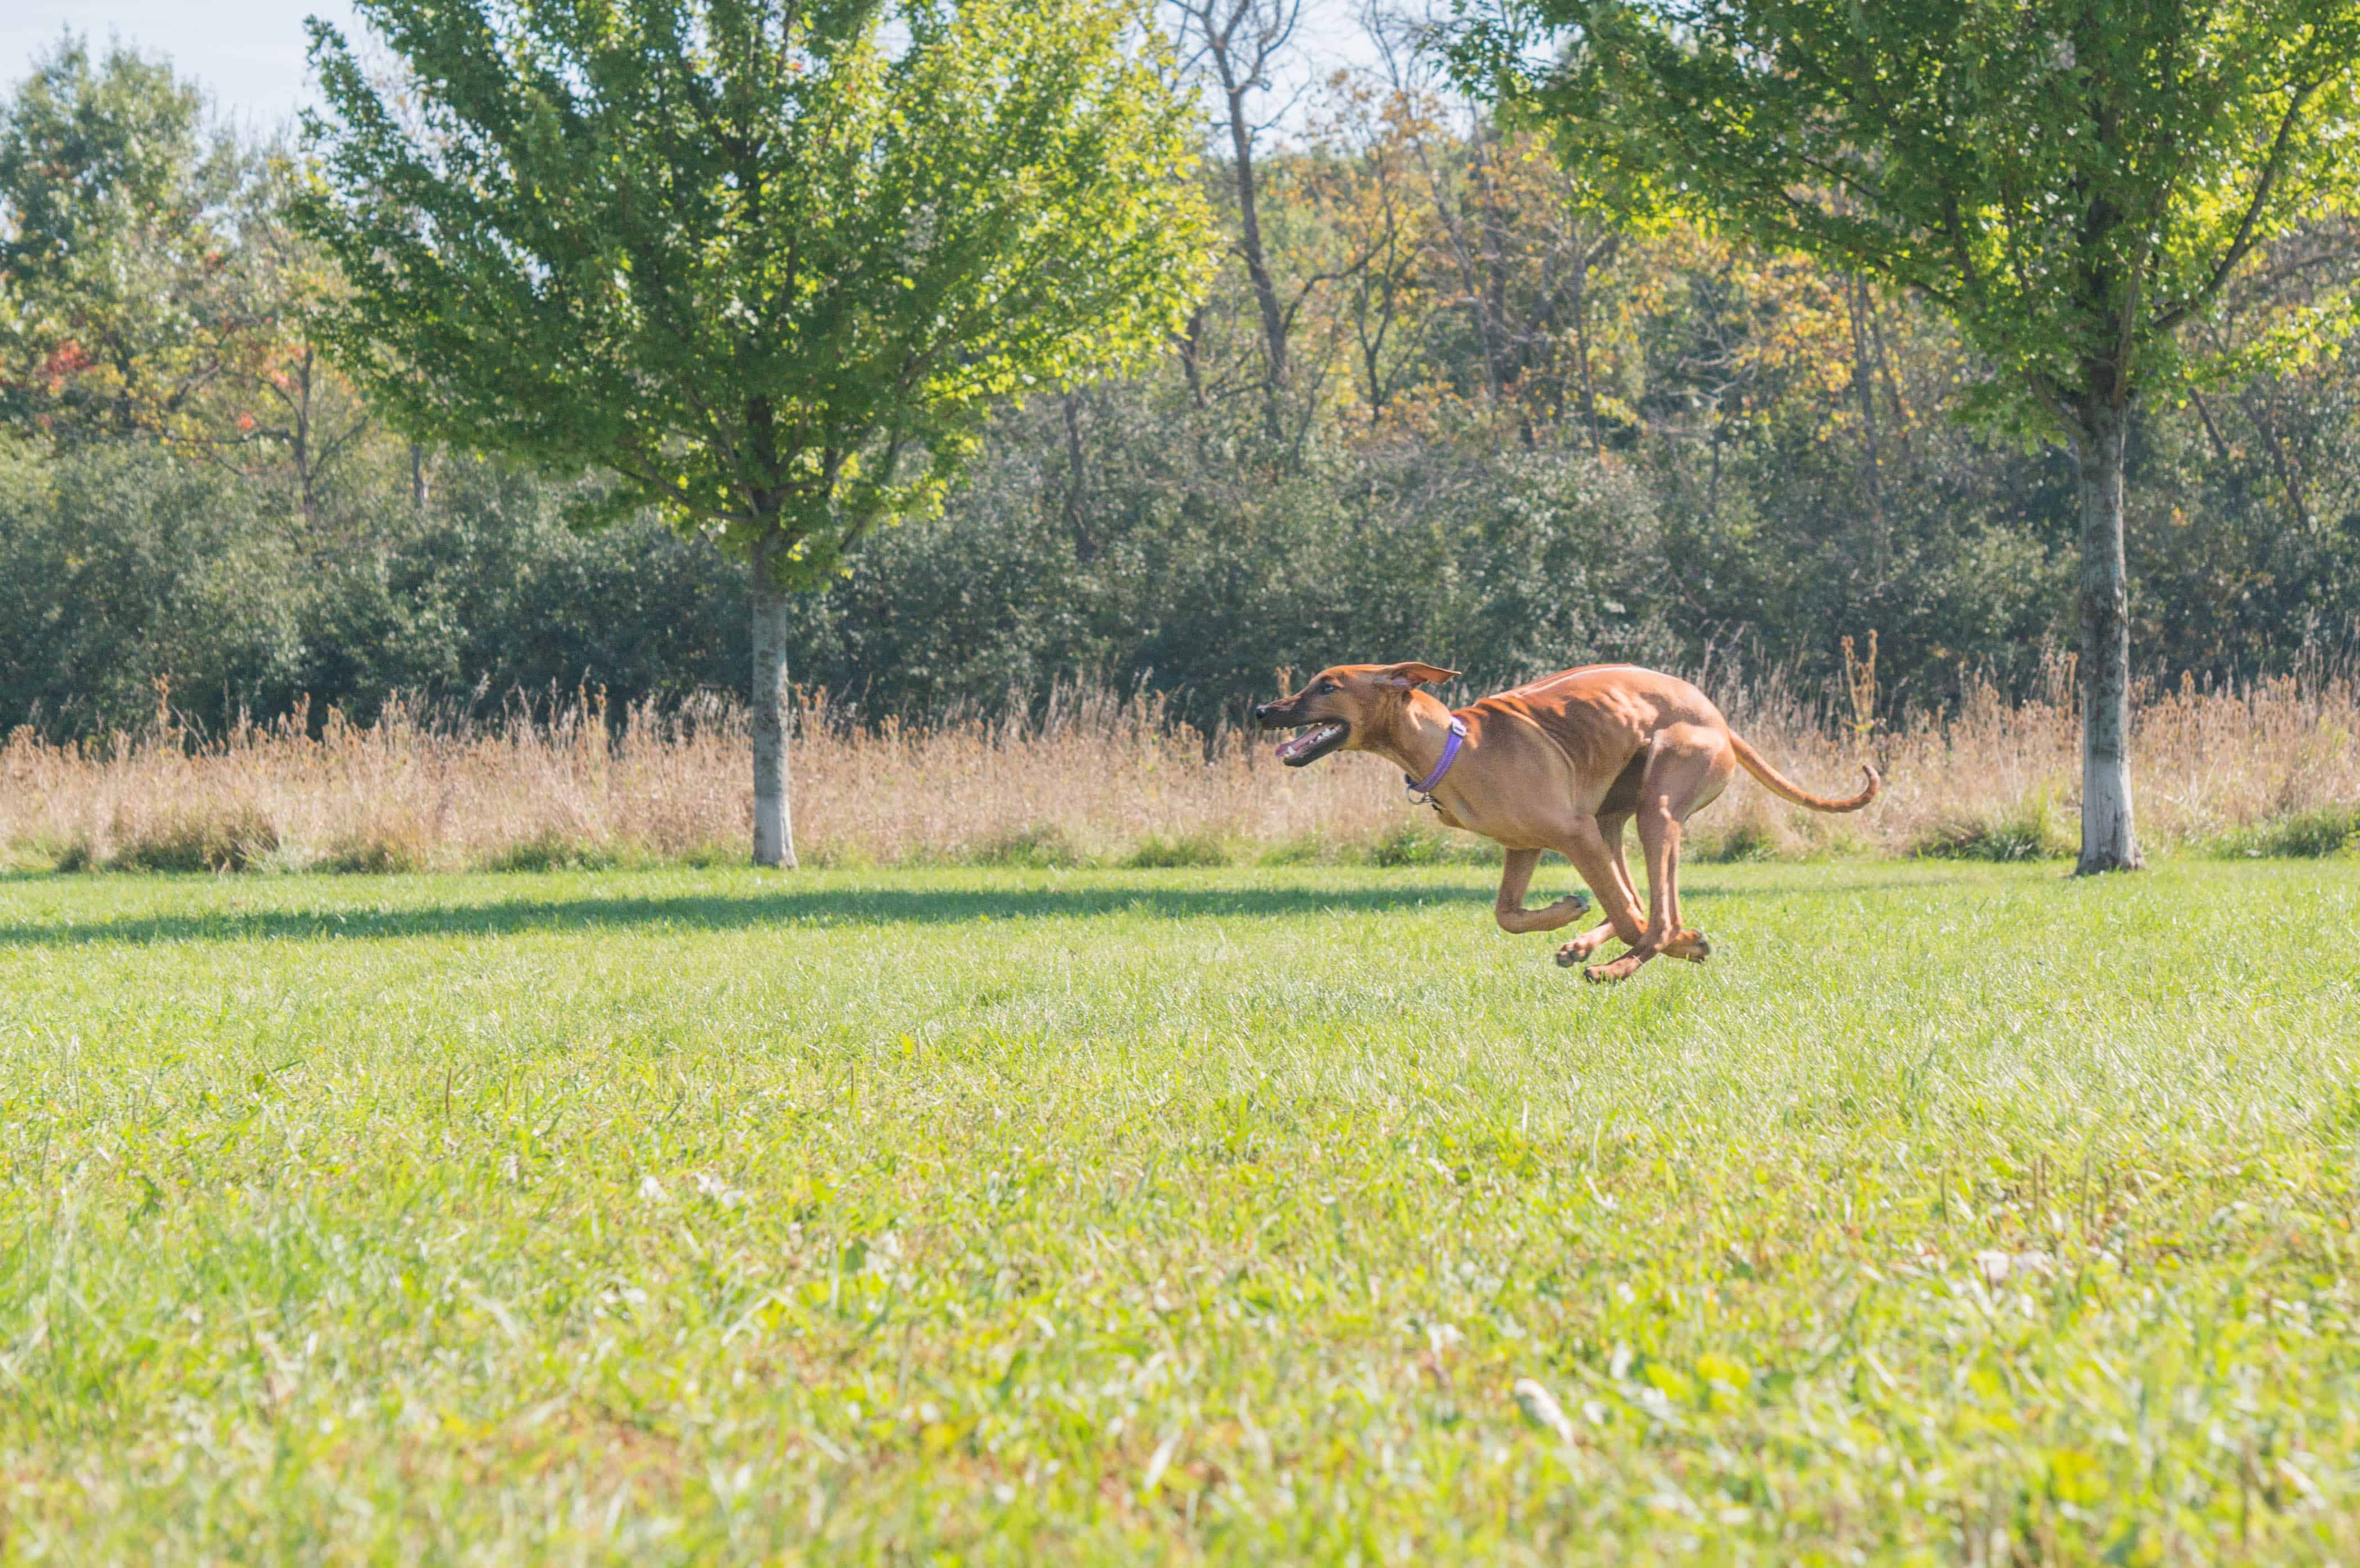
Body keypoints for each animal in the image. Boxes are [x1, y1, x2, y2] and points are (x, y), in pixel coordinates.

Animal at [1255, 661, 1878, 982]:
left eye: (1328, 686)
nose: (1262, 709)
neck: (1452, 744)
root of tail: (1720, 719)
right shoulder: (1525, 844)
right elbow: (1508, 915)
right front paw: (1565, 913)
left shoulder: (1570, 834)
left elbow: (1632, 917)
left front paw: (1677, 945)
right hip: (1610, 819)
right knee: (1639, 900)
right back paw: (1588, 945)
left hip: (1656, 807)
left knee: (1655, 913)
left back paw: (1623, 964)